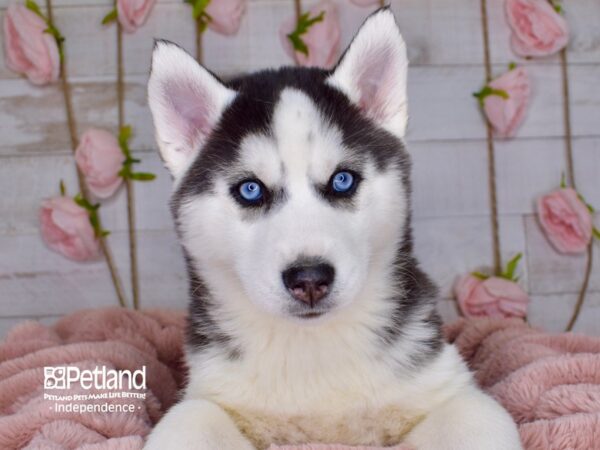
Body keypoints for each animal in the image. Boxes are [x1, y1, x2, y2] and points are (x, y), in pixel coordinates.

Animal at [143, 7, 524, 450]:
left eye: (342, 180)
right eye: (250, 190)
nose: (309, 279)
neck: (315, 348)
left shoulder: (447, 386)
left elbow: (475, 416)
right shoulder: (207, 393)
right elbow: (191, 419)